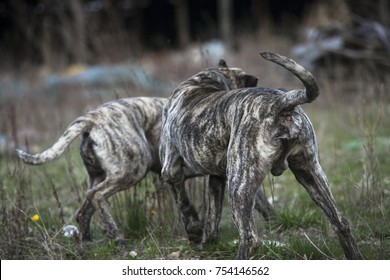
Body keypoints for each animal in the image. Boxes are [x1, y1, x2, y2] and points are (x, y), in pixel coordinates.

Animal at [158, 51, 362, 260]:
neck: (206, 82)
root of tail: (281, 102)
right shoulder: (216, 179)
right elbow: (212, 218)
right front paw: (207, 242)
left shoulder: (170, 170)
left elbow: (183, 202)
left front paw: (194, 231)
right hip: (309, 173)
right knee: (340, 222)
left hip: (239, 186)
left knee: (251, 238)